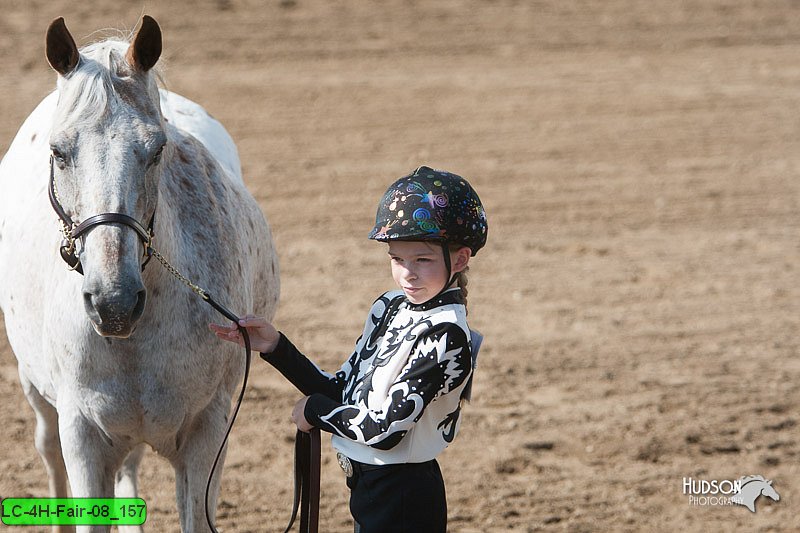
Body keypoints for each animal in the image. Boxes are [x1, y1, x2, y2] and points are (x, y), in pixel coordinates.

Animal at [0, 14, 278, 528]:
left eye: (157, 149)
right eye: (58, 151)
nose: (114, 303)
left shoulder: (207, 436)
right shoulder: (82, 438)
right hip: (36, 392)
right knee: (48, 453)